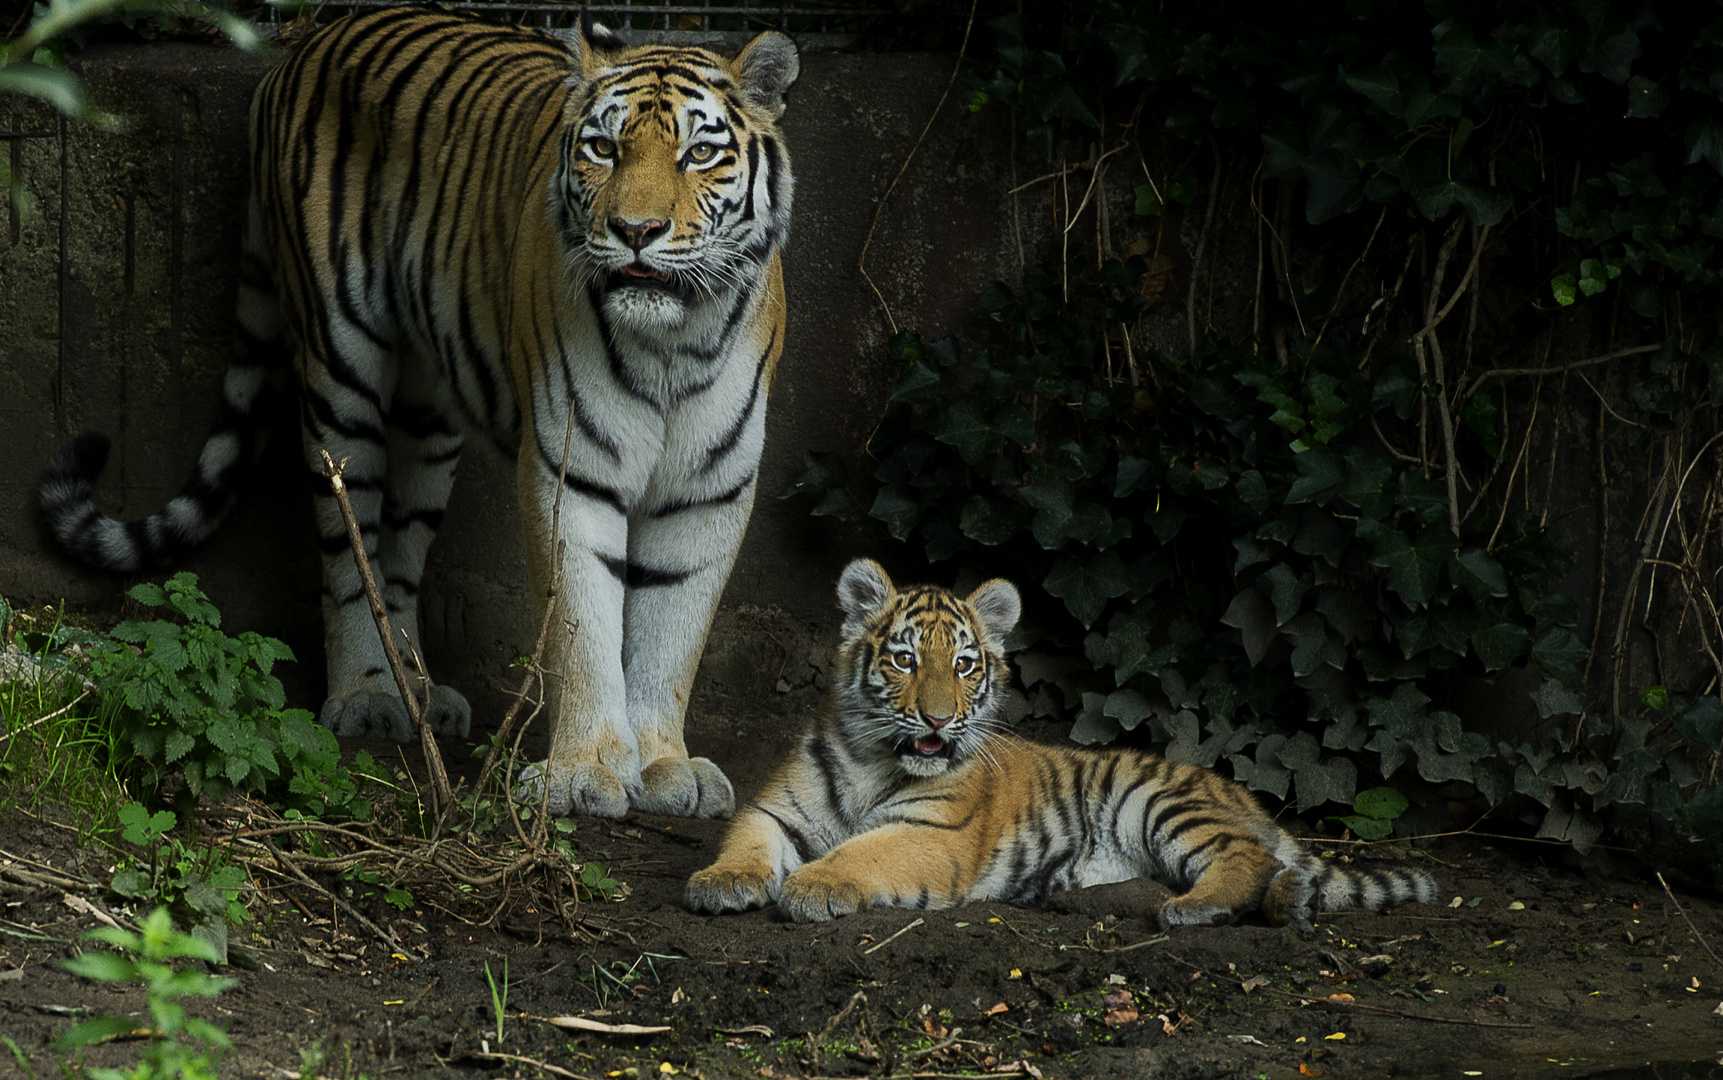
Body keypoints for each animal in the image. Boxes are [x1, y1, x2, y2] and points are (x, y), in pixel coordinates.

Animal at [37, 8, 796, 819]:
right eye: (603, 148)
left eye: (698, 154)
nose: (635, 231)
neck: (672, 342)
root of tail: (302, 46)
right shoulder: (574, 467)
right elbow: (581, 625)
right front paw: (583, 772)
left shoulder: (710, 488)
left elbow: (672, 633)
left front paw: (664, 767)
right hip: (340, 371)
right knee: (351, 550)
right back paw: (368, 693)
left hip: (431, 417)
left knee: (399, 558)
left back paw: (417, 692)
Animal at [685, 558, 1440, 930]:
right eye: (903, 660)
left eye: (964, 665)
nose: (936, 721)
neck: (876, 759)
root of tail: (1243, 798)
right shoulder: (775, 810)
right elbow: (747, 841)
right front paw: (721, 883)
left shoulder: (930, 833)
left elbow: (861, 852)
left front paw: (813, 886)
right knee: (1274, 871)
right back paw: (1289, 906)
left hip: (1157, 800)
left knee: (1246, 858)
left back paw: (1198, 908)